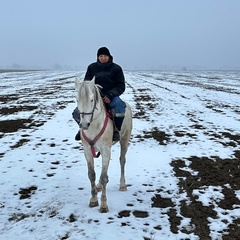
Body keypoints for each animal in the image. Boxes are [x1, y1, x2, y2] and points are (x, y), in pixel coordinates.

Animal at [74, 76, 132, 212]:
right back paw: (99, 186)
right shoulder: (87, 150)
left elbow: (104, 177)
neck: (94, 125)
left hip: (125, 140)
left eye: (91, 99)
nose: (84, 125)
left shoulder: (106, 150)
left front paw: (104, 205)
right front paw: (93, 200)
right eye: (77, 100)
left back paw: (122, 185)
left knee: (122, 160)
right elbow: (92, 175)